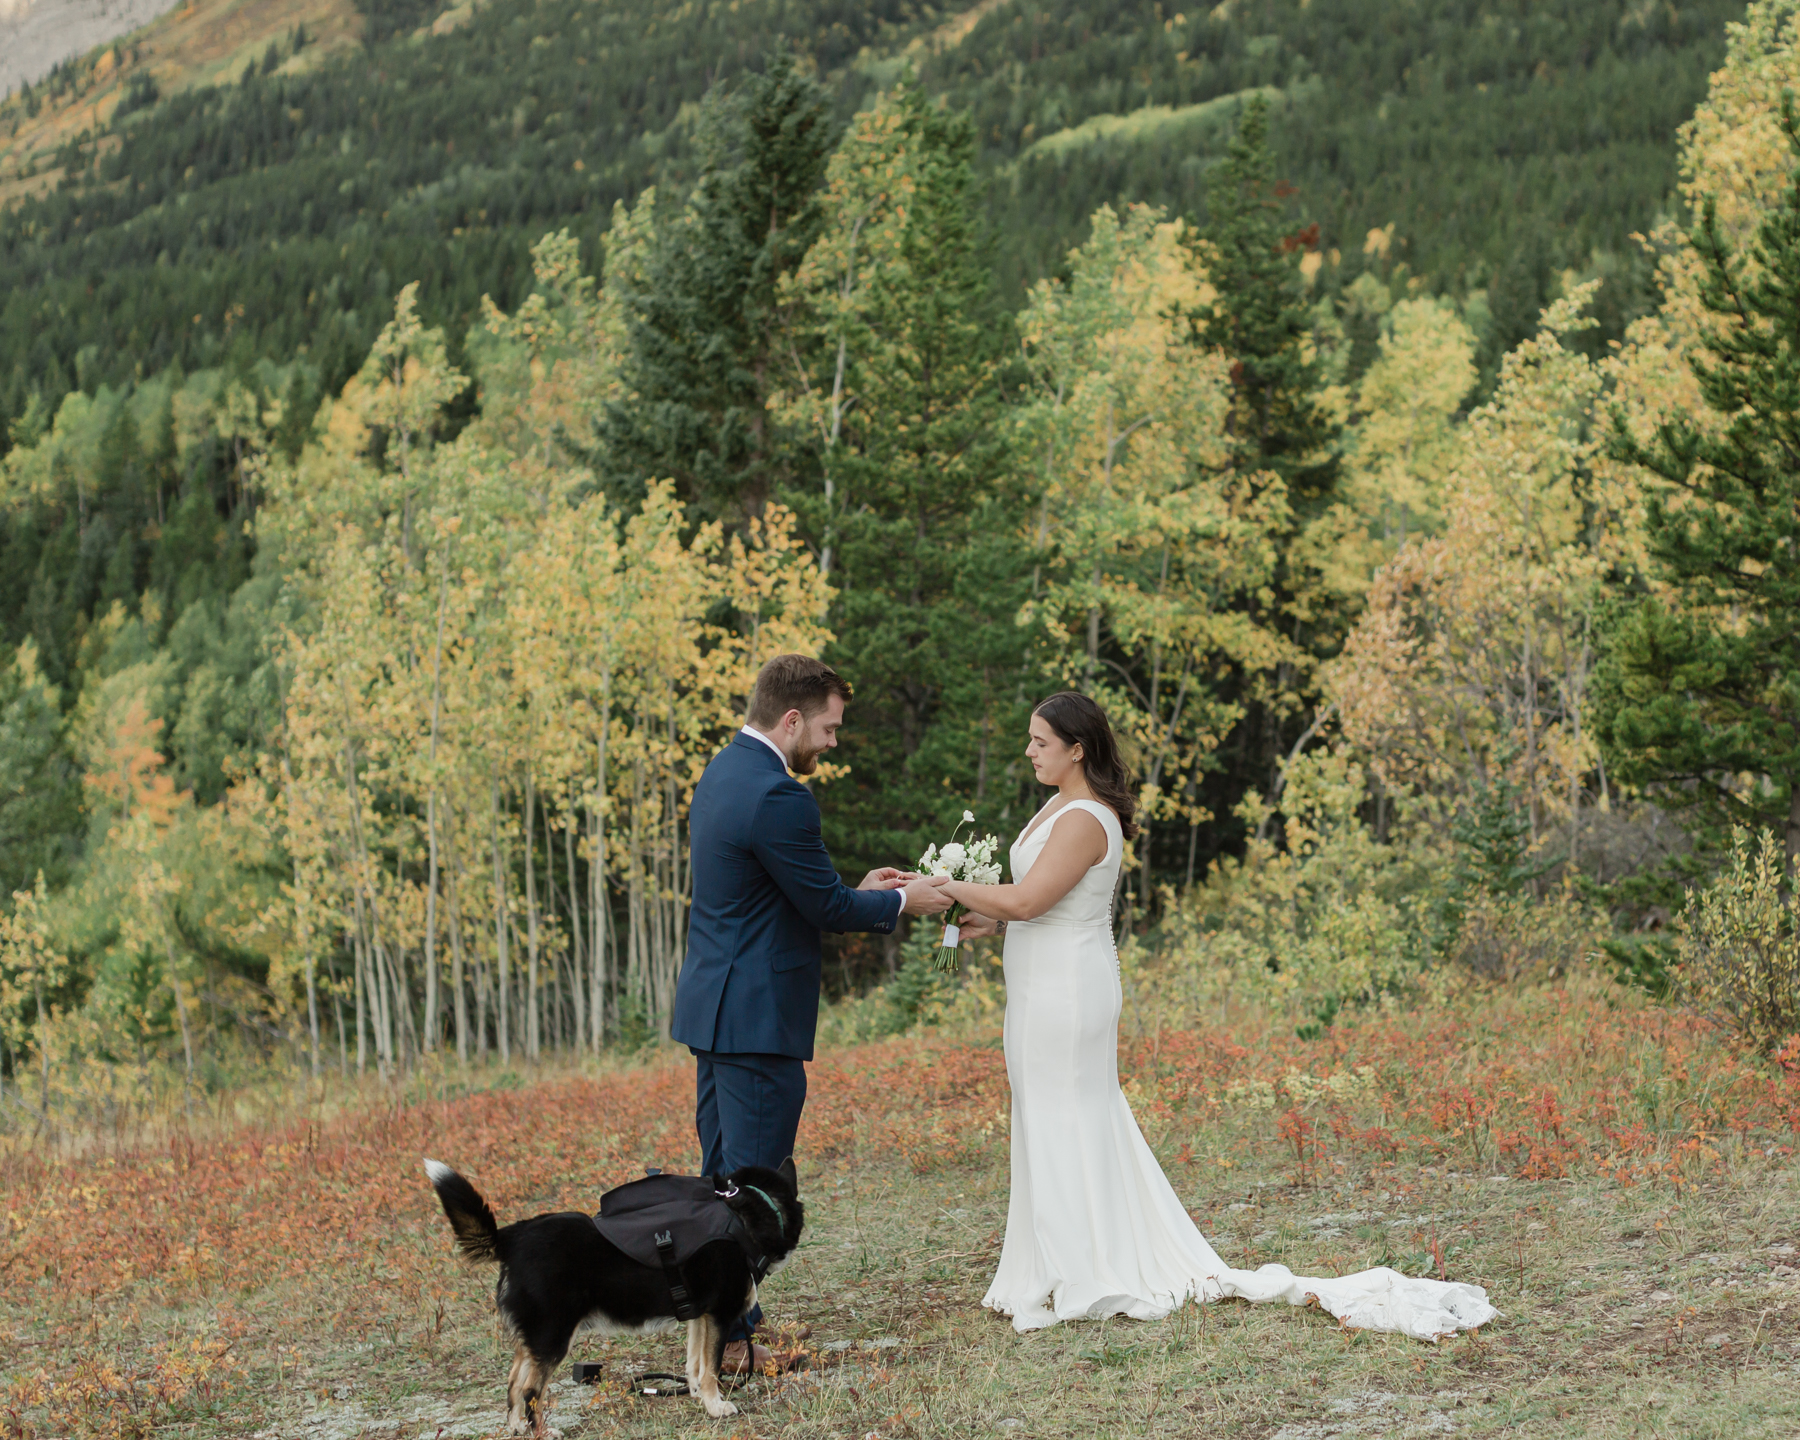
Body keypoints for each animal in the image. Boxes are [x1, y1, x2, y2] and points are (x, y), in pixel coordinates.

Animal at [421, 1159, 802, 1425]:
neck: (745, 1213)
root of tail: (511, 1237)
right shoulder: (720, 1315)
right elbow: (710, 1367)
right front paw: (716, 1405)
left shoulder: (700, 1316)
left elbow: (695, 1364)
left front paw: (697, 1396)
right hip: (553, 1337)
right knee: (530, 1391)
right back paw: (541, 1431)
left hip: (537, 1338)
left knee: (514, 1386)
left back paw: (518, 1428)